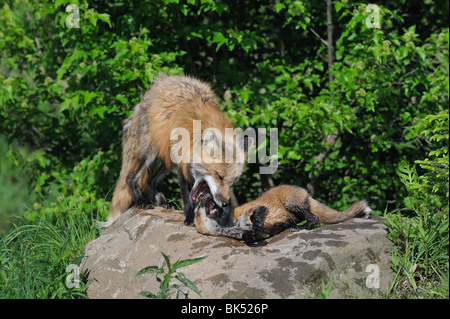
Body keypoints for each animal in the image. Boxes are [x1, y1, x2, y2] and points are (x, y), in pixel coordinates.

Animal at [101, 74, 250, 228]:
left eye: (232, 182)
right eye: (219, 176)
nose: (225, 203)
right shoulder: (181, 158)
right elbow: (186, 194)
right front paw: (189, 216)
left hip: (167, 156)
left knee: (153, 179)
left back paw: (163, 202)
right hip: (149, 153)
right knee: (130, 177)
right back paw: (140, 201)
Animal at [193, 186, 372, 246]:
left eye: (204, 198)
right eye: (199, 207)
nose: (206, 192)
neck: (230, 223)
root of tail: (306, 192)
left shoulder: (258, 208)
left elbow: (255, 216)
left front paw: (256, 221)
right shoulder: (253, 234)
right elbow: (248, 237)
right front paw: (251, 233)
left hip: (290, 202)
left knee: (314, 218)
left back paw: (301, 227)